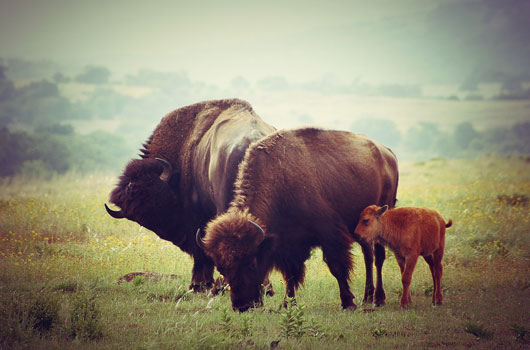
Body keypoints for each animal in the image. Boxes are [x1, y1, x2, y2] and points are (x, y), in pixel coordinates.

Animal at [198, 129, 396, 312]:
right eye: (221, 269)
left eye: (252, 263)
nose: (242, 306)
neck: (280, 181)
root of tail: (387, 153)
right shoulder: (289, 244)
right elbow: (291, 274)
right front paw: (288, 304)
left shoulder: (329, 235)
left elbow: (337, 268)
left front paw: (348, 303)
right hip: (362, 231)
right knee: (368, 256)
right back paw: (367, 297)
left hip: (382, 218)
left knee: (378, 257)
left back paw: (378, 299)